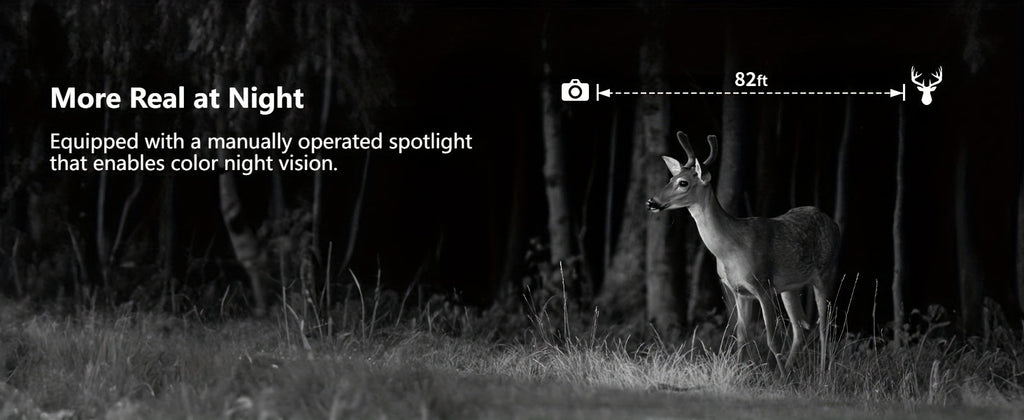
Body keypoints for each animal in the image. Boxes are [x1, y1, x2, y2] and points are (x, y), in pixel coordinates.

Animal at [646, 131, 840, 375]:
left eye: (683, 183)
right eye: (670, 179)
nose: (651, 201)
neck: (729, 250)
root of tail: (833, 223)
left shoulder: (762, 284)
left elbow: (771, 338)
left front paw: (772, 376)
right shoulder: (738, 291)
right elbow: (741, 336)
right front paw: (741, 373)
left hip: (825, 272)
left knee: (824, 325)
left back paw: (822, 372)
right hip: (790, 287)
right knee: (800, 328)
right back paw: (788, 372)